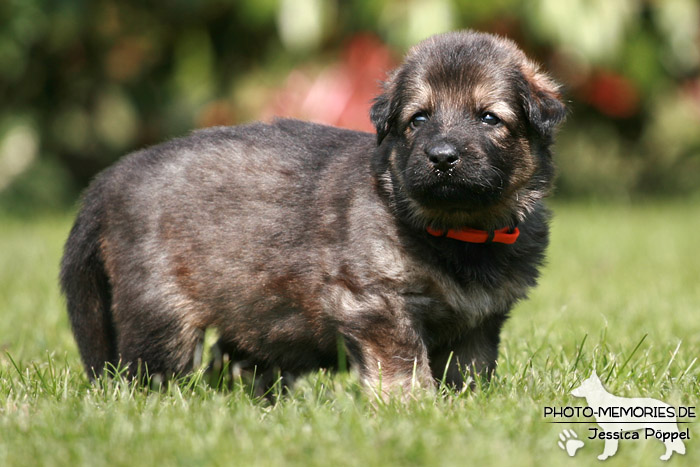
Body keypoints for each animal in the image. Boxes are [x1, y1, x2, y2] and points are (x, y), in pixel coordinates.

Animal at [58, 31, 564, 394]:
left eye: (489, 118)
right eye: (418, 119)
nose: (441, 157)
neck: (458, 231)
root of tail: (112, 177)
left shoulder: (479, 323)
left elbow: (470, 371)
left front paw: (465, 407)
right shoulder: (376, 304)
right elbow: (401, 366)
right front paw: (412, 407)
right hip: (159, 309)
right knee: (153, 369)